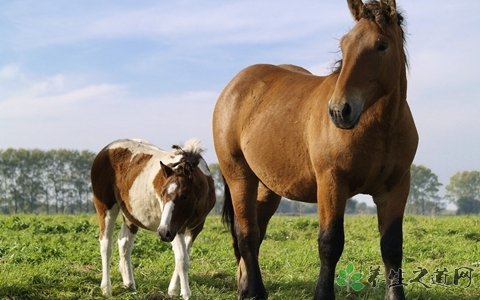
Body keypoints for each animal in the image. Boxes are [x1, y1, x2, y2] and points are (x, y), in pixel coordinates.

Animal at [89, 139, 216, 298]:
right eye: (162, 193)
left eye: (184, 195)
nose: (162, 232)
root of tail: (105, 150)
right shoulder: (175, 227)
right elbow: (182, 259)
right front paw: (185, 294)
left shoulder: (194, 227)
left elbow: (184, 257)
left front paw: (173, 290)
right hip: (105, 207)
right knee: (106, 244)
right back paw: (106, 289)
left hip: (130, 215)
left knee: (124, 243)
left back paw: (129, 285)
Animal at [213, 0, 416, 300]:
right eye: (344, 45)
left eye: (381, 45)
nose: (339, 110)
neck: (381, 128)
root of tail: (234, 86)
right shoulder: (332, 183)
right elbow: (330, 243)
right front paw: (322, 293)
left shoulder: (396, 187)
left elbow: (392, 246)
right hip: (240, 177)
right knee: (246, 233)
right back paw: (256, 291)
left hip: (267, 186)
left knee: (256, 230)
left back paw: (245, 286)